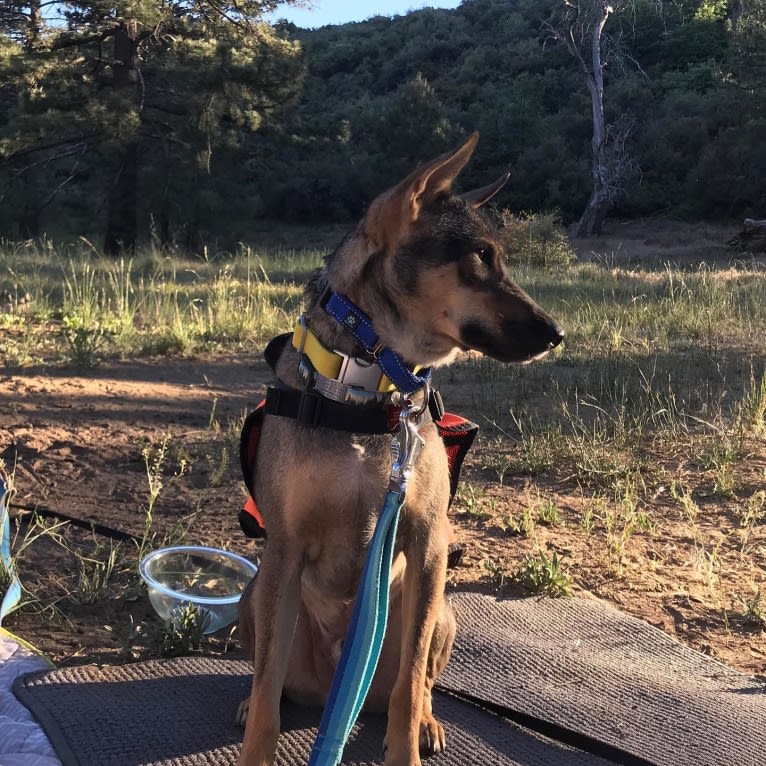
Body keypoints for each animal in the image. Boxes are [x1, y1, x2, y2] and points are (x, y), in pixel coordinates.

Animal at [237, 134, 568, 766]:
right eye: (480, 256)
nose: (556, 334)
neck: (367, 392)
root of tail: (334, 690)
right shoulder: (283, 553)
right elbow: (266, 693)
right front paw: (254, 744)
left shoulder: (425, 540)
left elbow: (410, 686)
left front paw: (408, 743)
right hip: (254, 592)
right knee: (273, 678)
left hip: (441, 612)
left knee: (416, 683)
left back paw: (429, 722)